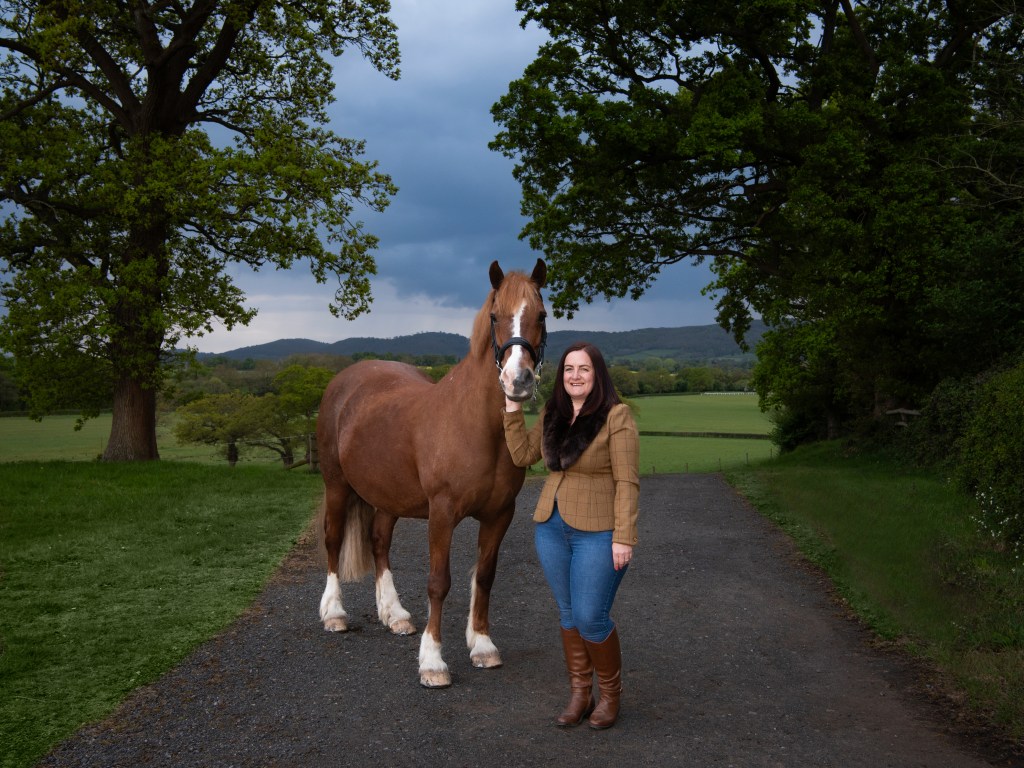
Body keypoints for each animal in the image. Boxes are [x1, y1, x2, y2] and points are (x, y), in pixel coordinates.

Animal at [316, 259, 548, 688]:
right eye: (495, 316)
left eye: (540, 315)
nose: (518, 380)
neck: (475, 427)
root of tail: (344, 381)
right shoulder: (442, 513)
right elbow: (439, 583)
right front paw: (433, 662)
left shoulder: (499, 514)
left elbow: (484, 577)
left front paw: (482, 645)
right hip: (336, 486)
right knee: (333, 540)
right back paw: (335, 613)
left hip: (387, 496)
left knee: (379, 543)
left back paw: (394, 615)